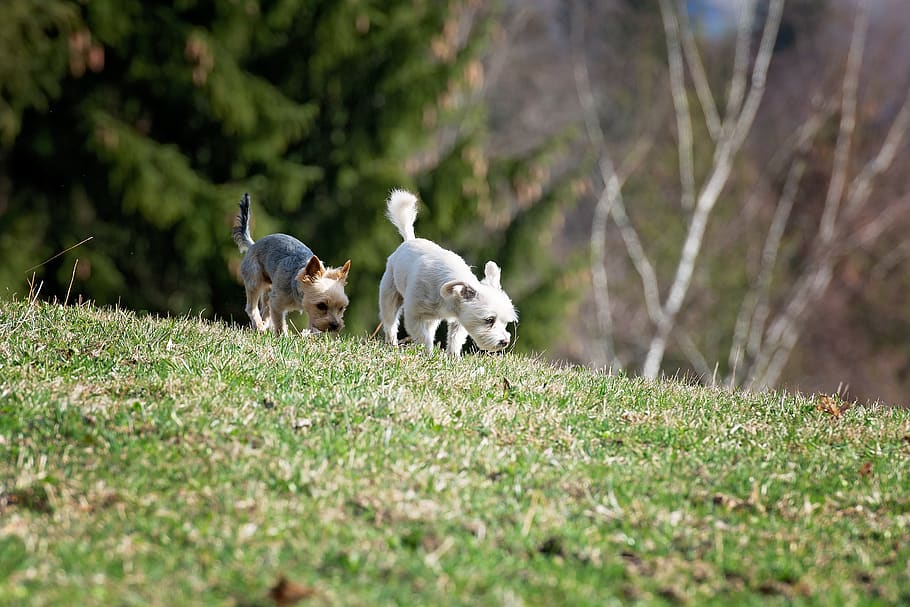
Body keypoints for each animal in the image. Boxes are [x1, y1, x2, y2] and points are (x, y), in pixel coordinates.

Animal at [233, 194, 350, 338]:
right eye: (321, 305)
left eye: (341, 308)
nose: (335, 326)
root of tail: (253, 245)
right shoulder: (277, 303)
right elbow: (279, 322)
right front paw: (282, 336)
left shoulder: (310, 312)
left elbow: (311, 324)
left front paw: (307, 335)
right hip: (254, 278)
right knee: (252, 306)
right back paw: (259, 326)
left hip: (269, 286)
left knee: (265, 306)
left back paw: (264, 324)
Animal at [380, 190, 520, 356]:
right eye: (489, 320)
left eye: (505, 322)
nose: (504, 342)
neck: (447, 300)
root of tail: (409, 240)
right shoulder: (414, 315)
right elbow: (424, 338)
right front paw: (428, 355)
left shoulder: (458, 320)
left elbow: (455, 339)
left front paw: (453, 358)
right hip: (389, 294)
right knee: (390, 322)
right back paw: (392, 344)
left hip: (431, 318)